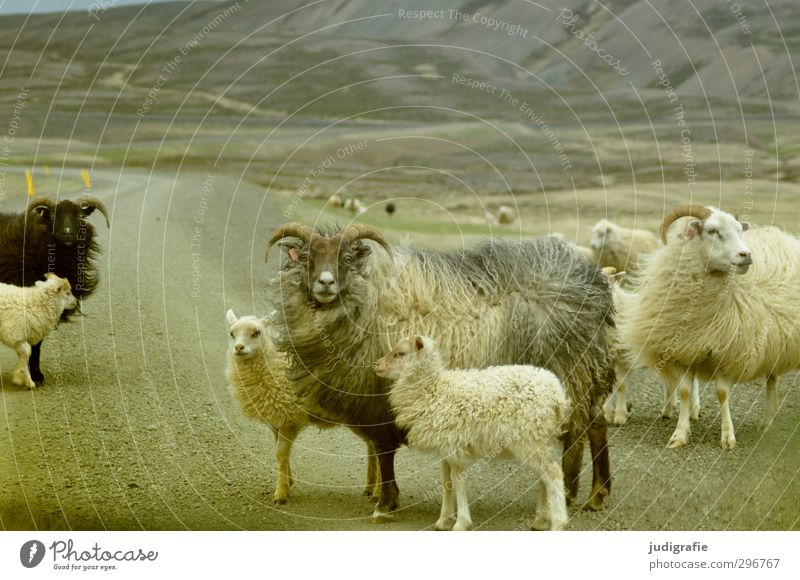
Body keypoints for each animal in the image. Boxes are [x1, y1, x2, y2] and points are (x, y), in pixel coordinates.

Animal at [222, 310, 378, 506]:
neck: (274, 366)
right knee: (373, 445)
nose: (238, 348)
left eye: (257, 332)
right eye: (232, 333)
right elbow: (281, 452)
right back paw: (370, 487)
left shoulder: (289, 418)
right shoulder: (276, 419)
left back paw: (378, 492)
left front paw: (281, 493)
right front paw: (288, 482)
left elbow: (280, 454)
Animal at [376, 336, 568, 532]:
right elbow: (446, 481)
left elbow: (457, 480)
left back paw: (558, 523)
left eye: (400, 353)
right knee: (544, 477)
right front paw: (443, 520)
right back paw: (541, 521)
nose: (376, 365)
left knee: (553, 474)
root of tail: (556, 393)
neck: (434, 389)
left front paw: (461, 523)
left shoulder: (454, 446)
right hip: (542, 438)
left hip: (530, 439)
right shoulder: (445, 448)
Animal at [624, 204, 800, 448]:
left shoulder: (728, 353)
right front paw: (679, 435)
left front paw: (728, 437)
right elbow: (685, 392)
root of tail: (786, 237)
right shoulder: (683, 352)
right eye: (713, 231)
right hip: (773, 346)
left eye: (740, 230)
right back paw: (767, 423)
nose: (747, 255)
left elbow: (722, 394)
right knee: (772, 380)